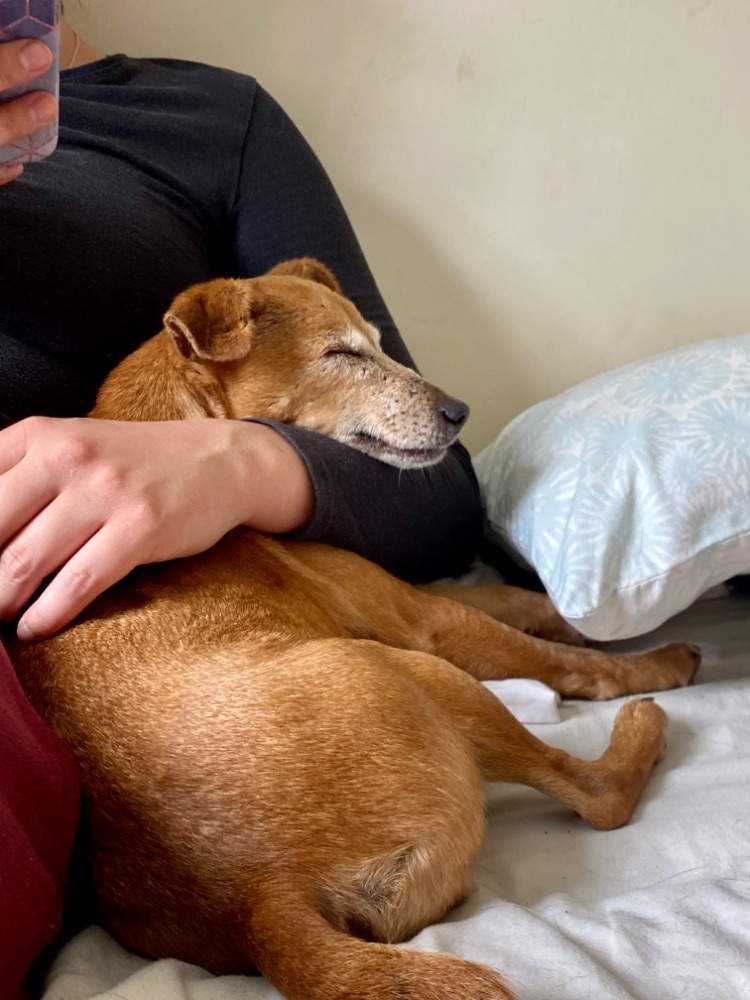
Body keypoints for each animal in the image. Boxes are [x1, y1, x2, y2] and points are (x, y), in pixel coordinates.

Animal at [10, 258, 701, 1000]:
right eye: (342, 355)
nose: (460, 412)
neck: (173, 416)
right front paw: (653, 660)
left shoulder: (409, 597)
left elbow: (516, 600)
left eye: (378, 341)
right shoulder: (424, 623)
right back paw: (643, 724)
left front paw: (565, 609)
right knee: (598, 796)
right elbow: (555, 655)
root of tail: (254, 899)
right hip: (415, 675)